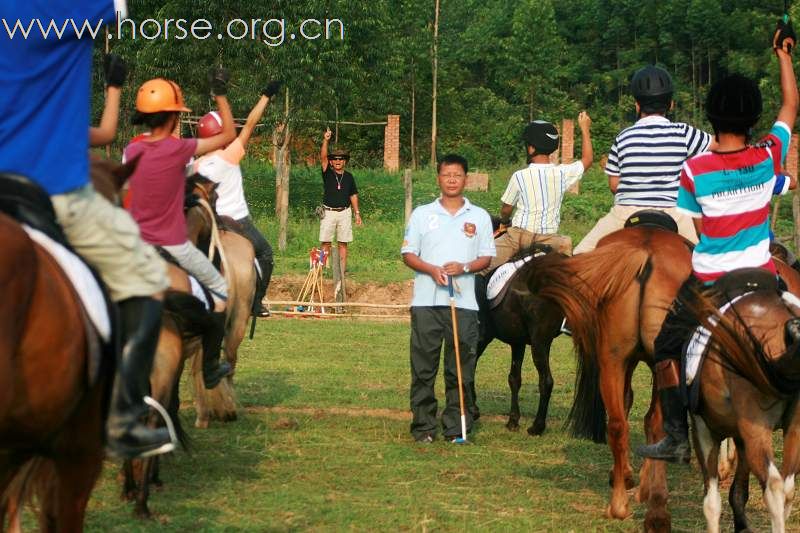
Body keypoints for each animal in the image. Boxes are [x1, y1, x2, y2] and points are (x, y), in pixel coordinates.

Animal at [684, 278, 800, 532]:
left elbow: (711, 502)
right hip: (794, 426)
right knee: (788, 488)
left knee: (774, 488)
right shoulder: (741, 437)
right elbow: (738, 492)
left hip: (755, 427)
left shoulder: (702, 430)